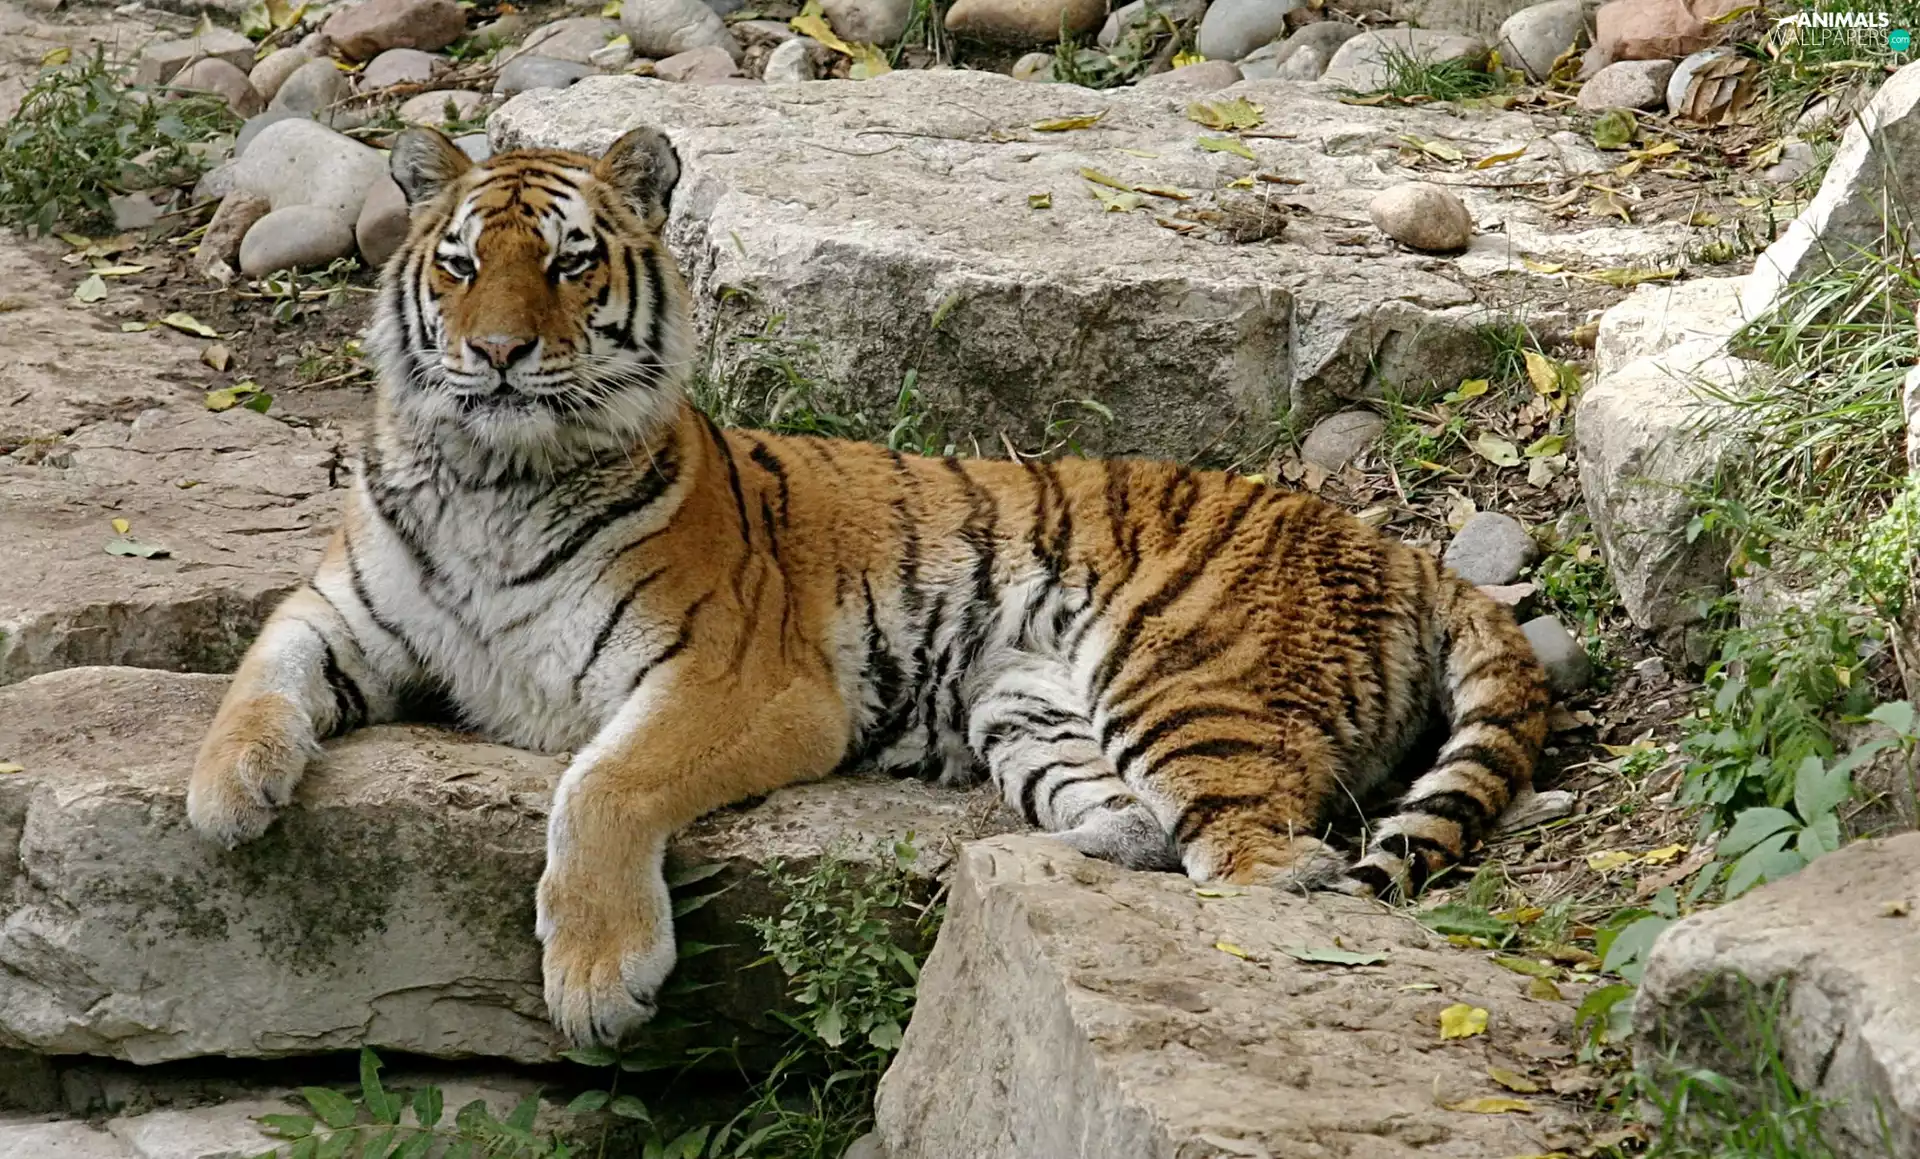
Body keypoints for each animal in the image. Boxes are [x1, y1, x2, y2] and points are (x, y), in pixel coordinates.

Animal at [186, 123, 1553, 1050]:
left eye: (571, 265)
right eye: (463, 265)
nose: (500, 354)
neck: (494, 477)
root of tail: (1405, 548)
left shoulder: (739, 681)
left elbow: (599, 785)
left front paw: (596, 975)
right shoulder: (347, 610)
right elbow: (258, 670)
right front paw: (225, 795)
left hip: (1183, 679)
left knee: (1271, 862)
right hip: (1024, 702)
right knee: (1147, 829)